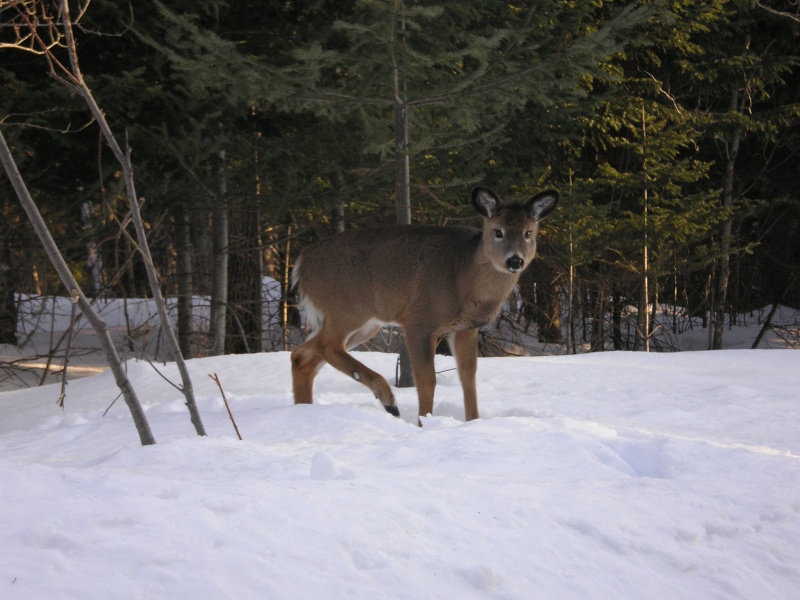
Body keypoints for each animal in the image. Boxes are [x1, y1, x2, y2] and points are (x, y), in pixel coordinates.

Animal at [288, 185, 556, 424]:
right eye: (498, 231)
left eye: (528, 233)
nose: (515, 260)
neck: (463, 278)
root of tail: (300, 264)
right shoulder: (419, 322)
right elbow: (427, 380)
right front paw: (423, 423)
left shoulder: (465, 328)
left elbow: (468, 377)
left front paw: (473, 422)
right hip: (347, 306)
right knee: (326, 345)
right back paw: (388, 400)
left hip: (363, 324)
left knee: (302, 355)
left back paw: (305, 410)